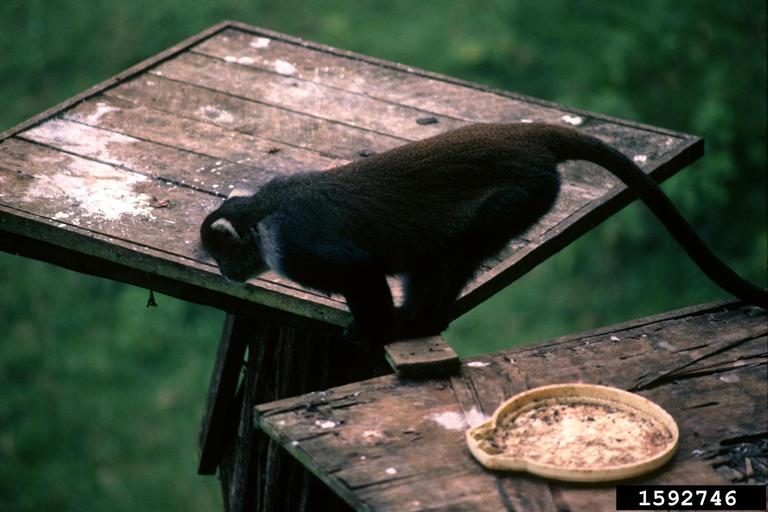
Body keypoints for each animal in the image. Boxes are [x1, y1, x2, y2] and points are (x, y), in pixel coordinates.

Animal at [200, 122, 767, 343]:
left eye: (224, 255)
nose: (227, 273)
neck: (262, 214)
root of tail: (523, 135)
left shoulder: (293, 243)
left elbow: (360, 270)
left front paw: (373, 330)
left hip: (523, 194)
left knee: (458, 248)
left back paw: (419, 321)